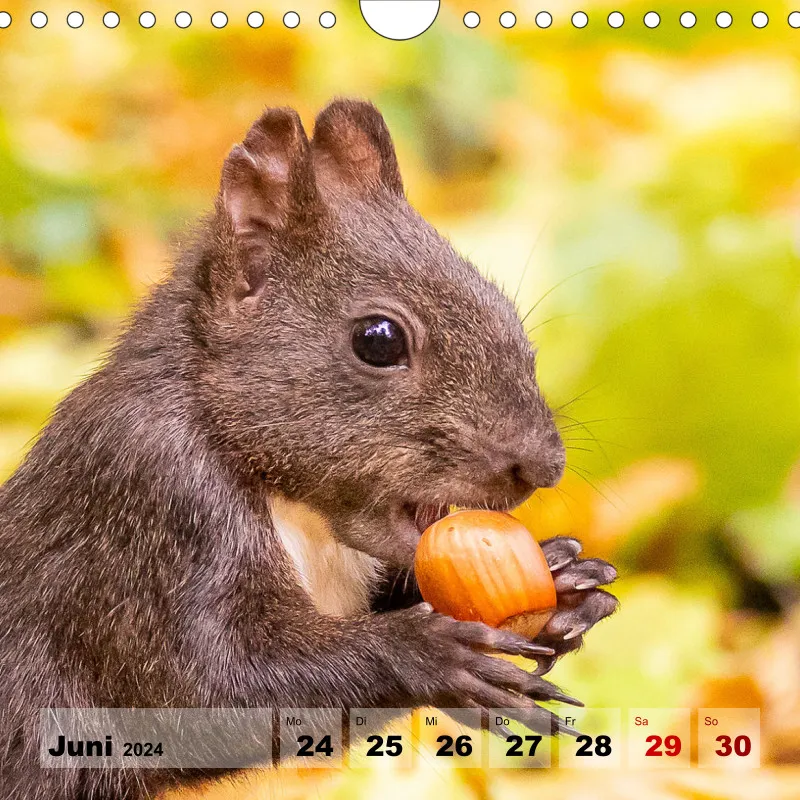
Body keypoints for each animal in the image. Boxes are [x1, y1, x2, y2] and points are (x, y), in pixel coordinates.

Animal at [0, 99, 618, 799]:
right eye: (378, 339)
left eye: (509, 317)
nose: (541, 465)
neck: (301, 511)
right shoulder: (148, 505)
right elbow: (204, 691)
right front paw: (425, 653)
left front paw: (569, 584)